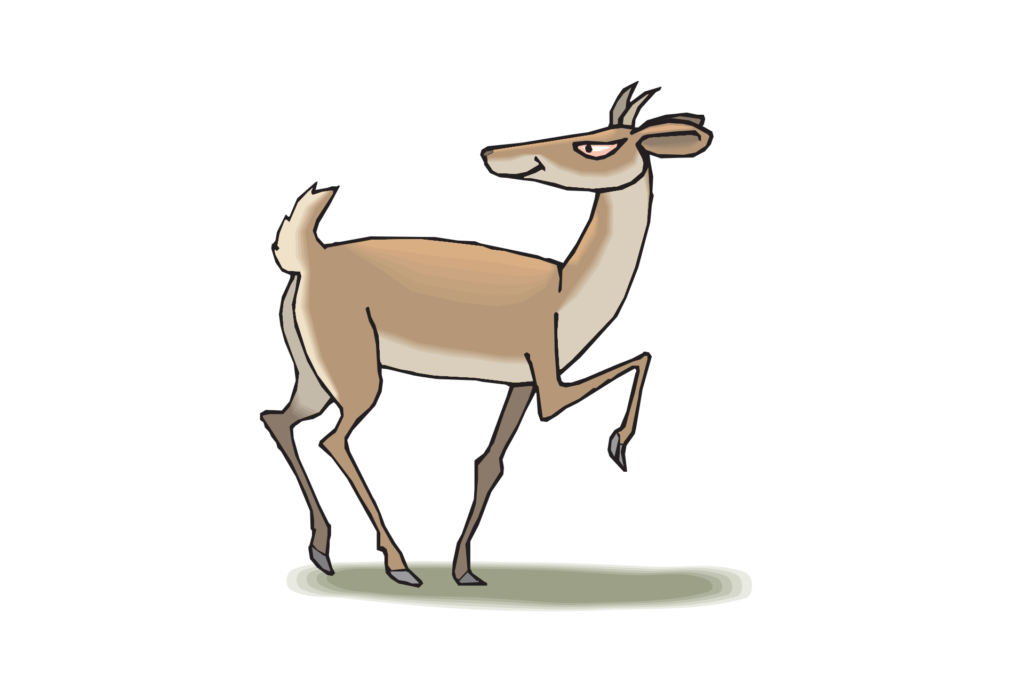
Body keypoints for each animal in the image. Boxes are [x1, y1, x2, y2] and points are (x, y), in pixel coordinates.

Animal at [261, 83, 713, 587]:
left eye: (595, 144)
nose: (493, 152)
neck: (566, 292)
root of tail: (307, 255)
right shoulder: (550, 384)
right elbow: (640, 358)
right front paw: (618, 446)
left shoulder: (521, 383)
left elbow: (489, 463)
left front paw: (464, 571)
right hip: (358, 376)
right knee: (333, 439)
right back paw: (399, 565)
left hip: (315, 375)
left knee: (278, 419)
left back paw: (323, 550)